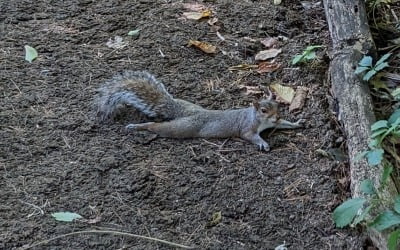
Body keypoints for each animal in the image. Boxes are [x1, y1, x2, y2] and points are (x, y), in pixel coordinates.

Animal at [96, 71, 304, 151]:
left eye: (278, 105)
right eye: (263, 110)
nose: (277, 116)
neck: (261, 121)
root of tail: (185, 113)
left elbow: (284, 125)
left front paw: (296, 123)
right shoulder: (247, 127)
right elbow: (249, 135)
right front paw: (262, 143)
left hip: (187, 108)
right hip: (182, 128)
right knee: (157, 126)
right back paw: (138, 127)